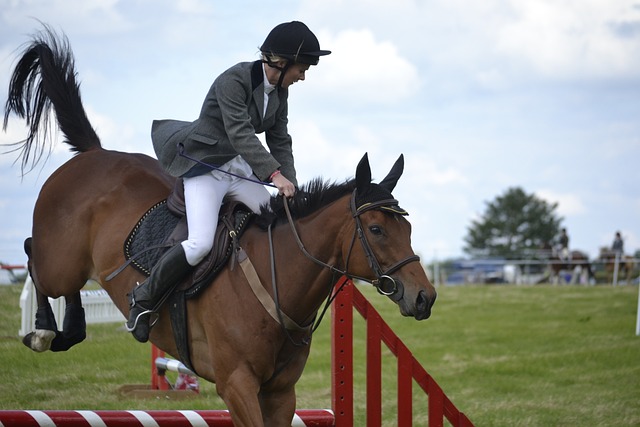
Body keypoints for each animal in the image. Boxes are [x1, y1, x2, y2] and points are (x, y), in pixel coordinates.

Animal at [3, 28, 436, 426]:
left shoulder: (281, 393)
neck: (278, 282)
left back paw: (71, 330)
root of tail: (93, 154)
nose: (424, 298)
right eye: (377, 230)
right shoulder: (237, 385)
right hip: (60, 261)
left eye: (408, 230)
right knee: (34, 257)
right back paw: (45, 331)